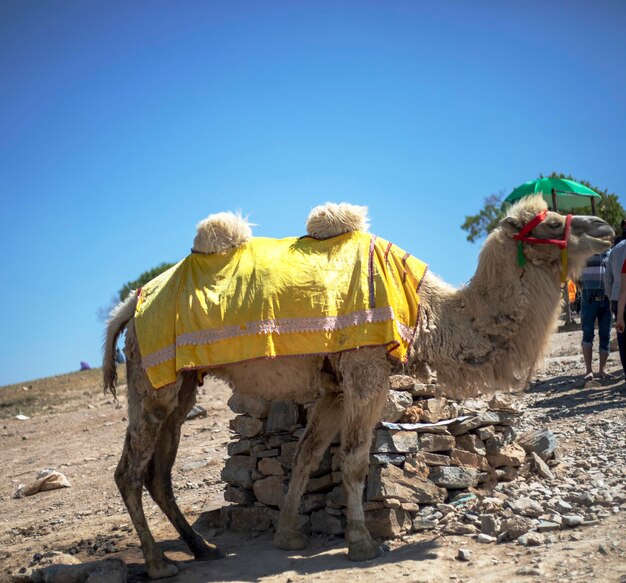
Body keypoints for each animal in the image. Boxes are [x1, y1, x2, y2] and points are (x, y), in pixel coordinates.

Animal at [101, 196, 608, 580]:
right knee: (129, 471)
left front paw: (289, 535)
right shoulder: (366, 371)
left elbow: (308, 455)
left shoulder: (335, 387)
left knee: (159, 471)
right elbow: (355, 460)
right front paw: (362, 543)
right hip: (151, 380)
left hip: (179, 384)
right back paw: (158, 563)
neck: (426, 316)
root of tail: (131, 303)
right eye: (551, 223)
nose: (604, 227)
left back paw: (203, 548)